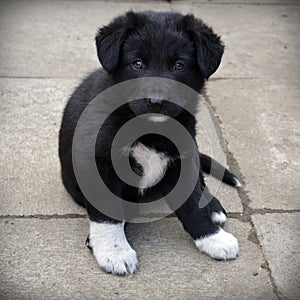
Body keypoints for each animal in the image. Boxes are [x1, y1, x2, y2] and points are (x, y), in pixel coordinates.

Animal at [59, 11, 241, 276]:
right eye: (137, 63)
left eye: (179, 65)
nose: (156, 102)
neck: (148, 128)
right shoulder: (99, 162)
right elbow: (108, 212)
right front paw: (114, 251)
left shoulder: (183, 157)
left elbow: (192, 203)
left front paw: (212, 237)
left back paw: (213, 206)